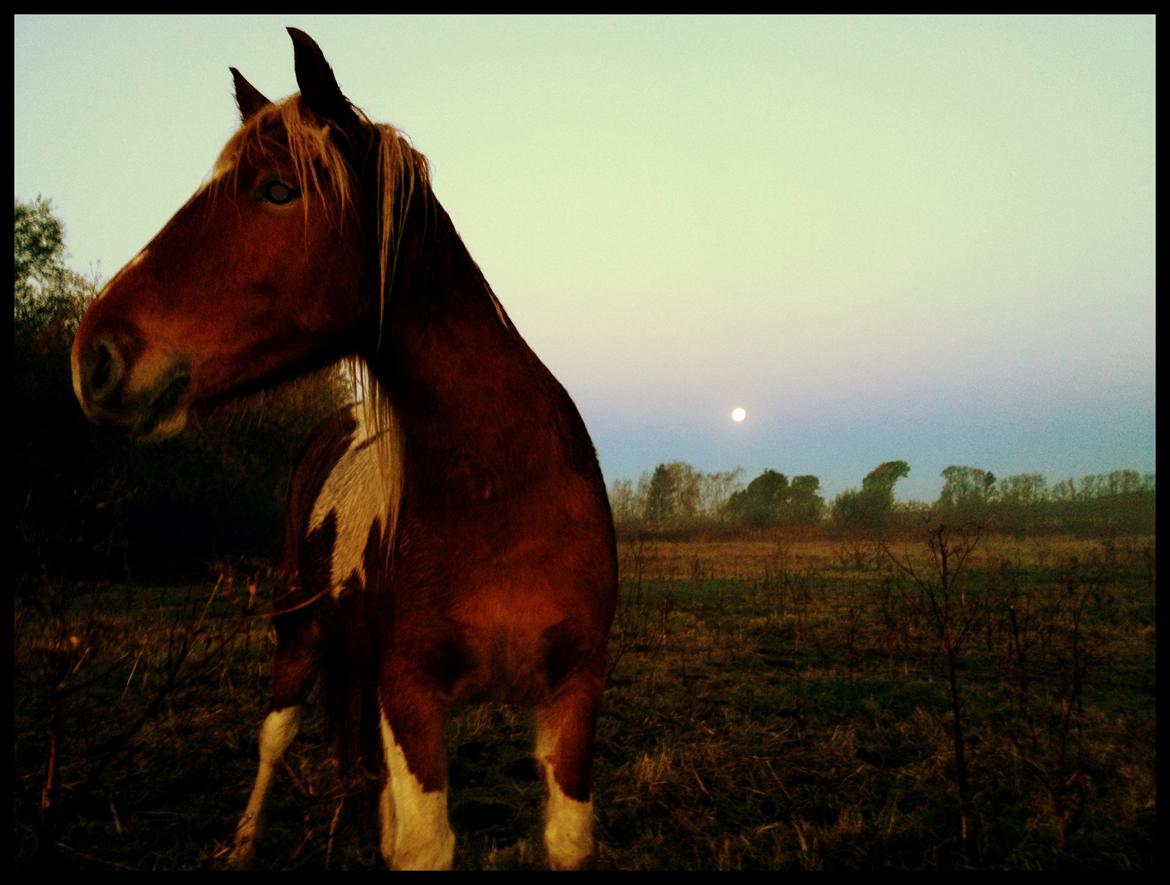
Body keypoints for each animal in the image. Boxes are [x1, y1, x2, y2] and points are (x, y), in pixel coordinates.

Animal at [70, 27, 622, 870]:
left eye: (277, 190)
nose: (94, 355)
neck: (500, 490)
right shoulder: (410, 693)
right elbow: (423, 840)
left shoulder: (574, 693)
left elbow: (559, 836)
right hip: (296, 638)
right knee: (275, 738)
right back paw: (241, 844)